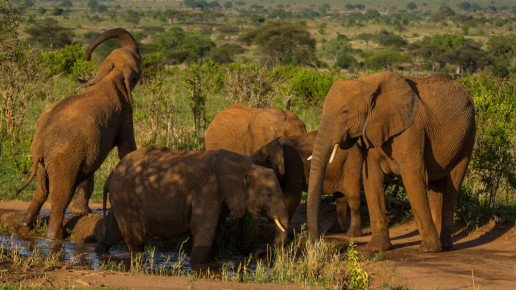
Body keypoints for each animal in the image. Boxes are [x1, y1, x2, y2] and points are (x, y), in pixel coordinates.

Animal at [16, 28, 141, 239]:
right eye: (138, 72)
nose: (86, 57)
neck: (109, 73)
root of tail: (39, 147)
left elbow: (90, 168)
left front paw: (81, 212)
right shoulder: (124, 112)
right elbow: (127, 149)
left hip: (45, 162)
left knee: (41, 191)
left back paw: (24, 227)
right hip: (63, 161)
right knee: (59, 198)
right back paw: (54, 237)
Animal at [97, 146, 290, 266]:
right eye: (269, 195)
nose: (256, 254)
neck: (244, 164)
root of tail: (110, 176)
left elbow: (217, 231)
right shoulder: (207, 191)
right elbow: (204, 230)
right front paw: (197, 265)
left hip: (121, 198)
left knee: (113, 232)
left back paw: (101, 253)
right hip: (126, 195)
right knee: (136, 239)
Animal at [306, 71, 476, 253]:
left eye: (345, 112)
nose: (319, 242)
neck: (367, 83)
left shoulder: (411, 130)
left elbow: (412, 177)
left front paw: (428, 250)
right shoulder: (370, 132)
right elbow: (371, 179)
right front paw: (376, 248)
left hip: (468, 135)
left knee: (453, 184)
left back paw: (443, 245)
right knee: (437, 184)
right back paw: (443, 245)